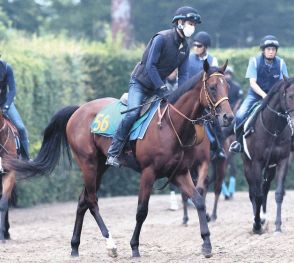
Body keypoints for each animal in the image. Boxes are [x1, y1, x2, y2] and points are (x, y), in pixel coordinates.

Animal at [5, 60, 234, 258]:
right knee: (92, 200)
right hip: (87, 163)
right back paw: (110, 244)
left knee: (82, 200)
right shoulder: (148, 173)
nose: (228, 117)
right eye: (213, 87)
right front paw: (134, 247)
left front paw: (207, 244)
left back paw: (75, 247)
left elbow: (199, 201)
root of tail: (78, 110)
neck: (171, 125)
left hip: (100, 166)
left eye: (227, 87)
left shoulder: (179, 172)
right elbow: (141, 210)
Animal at [241, 77, 294, 234]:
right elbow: (257, 195)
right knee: (253, 191)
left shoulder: (282, 161)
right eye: (290, 96)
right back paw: (257, 221)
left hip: (270, 167)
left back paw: (263, 218)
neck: (273, 129)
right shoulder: (256, 163)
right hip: (247, 165)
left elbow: (278, 193)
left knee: (264, 188)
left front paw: (278, 226)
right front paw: (256, 225)